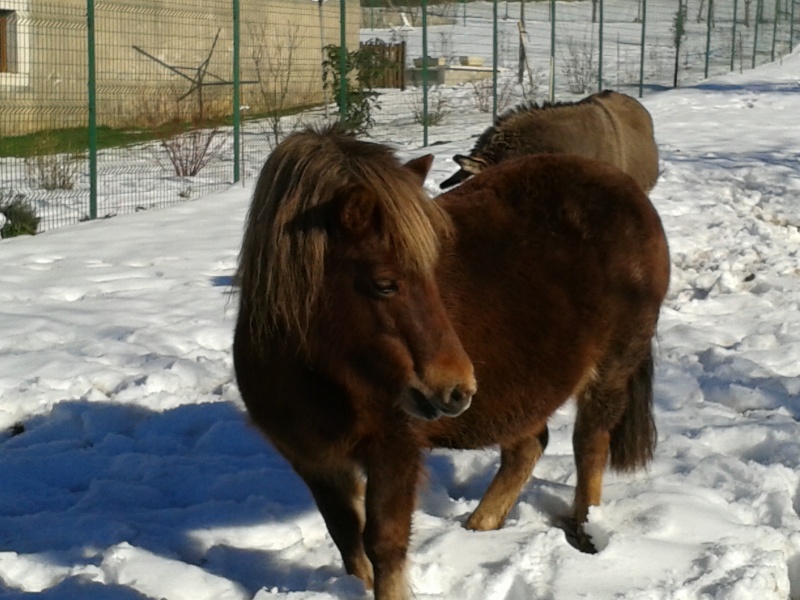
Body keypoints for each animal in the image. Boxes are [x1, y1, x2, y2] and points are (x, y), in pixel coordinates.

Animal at [234, 124, 672, 596]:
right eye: (384, 284)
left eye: (431, 272)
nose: (456, 387)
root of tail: (628, 191)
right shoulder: (314, 460)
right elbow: (347, 539)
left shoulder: (395, 449)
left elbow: (384, 544)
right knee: (527, 448)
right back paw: (477, 529)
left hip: (611, 368)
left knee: (589, 444)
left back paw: (586, 530)